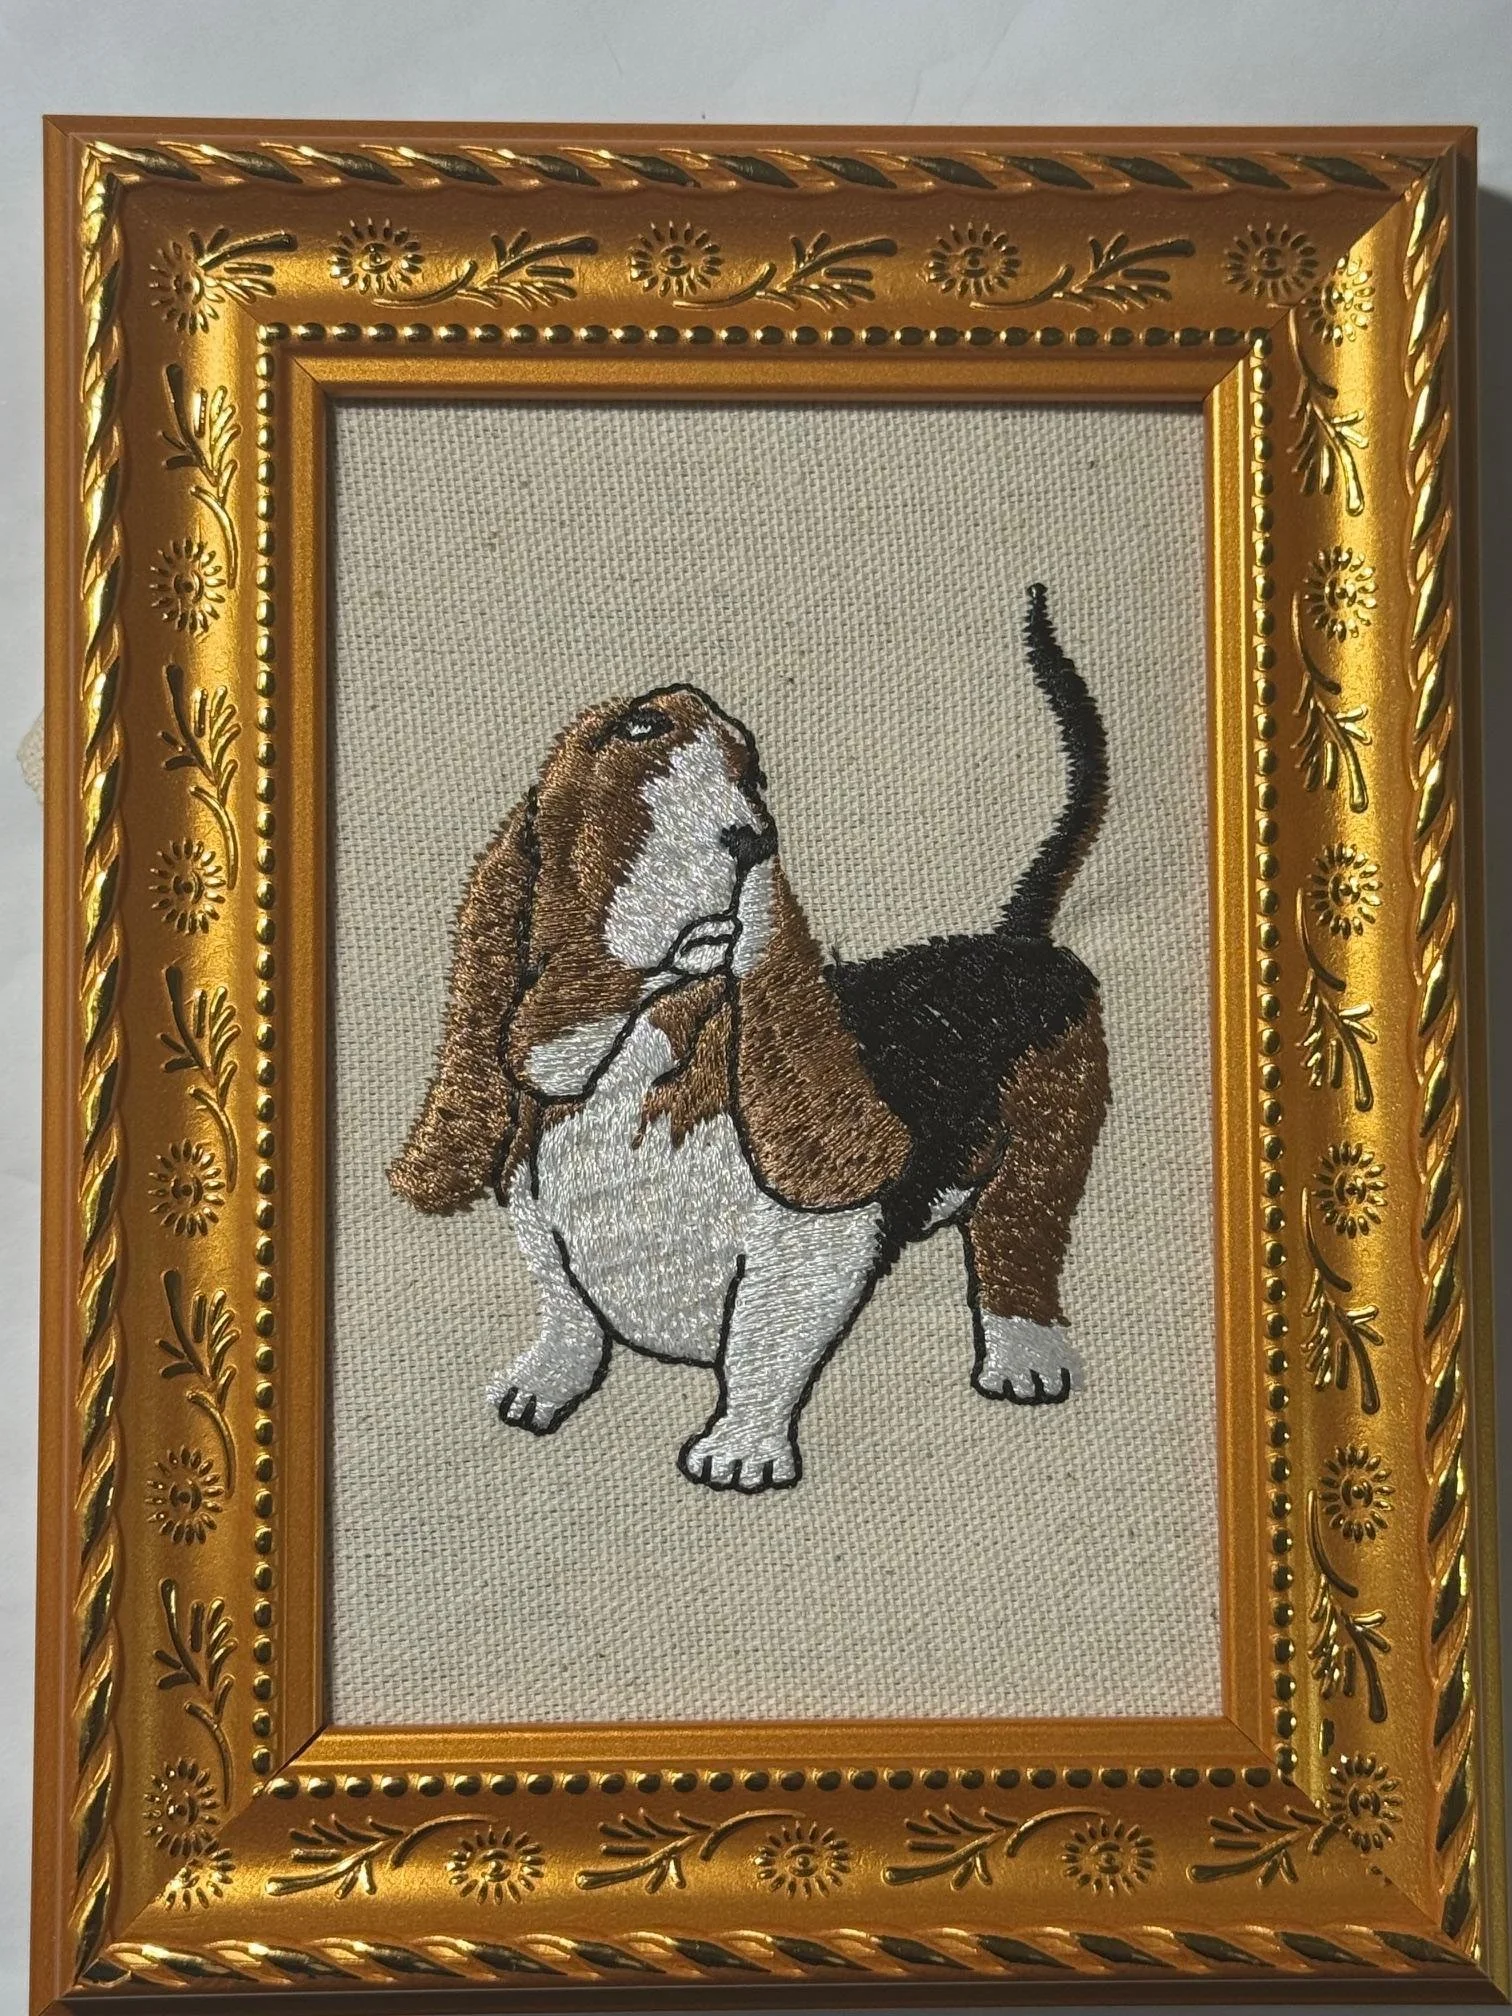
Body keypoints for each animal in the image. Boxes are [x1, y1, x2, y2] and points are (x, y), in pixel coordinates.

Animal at [390, 584, 1110, 1493]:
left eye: (754, 775)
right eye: (639, 728)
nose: (753, 841)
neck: (641, 1045)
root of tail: (1017, 945)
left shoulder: (808, 1251)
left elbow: (763, 1348)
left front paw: (739, 1451)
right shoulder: (532, 1204)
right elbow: (566, 1310)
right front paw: (541, 1383)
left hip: (1051, 1144)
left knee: (1020, 1246)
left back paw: (1025, 1359)